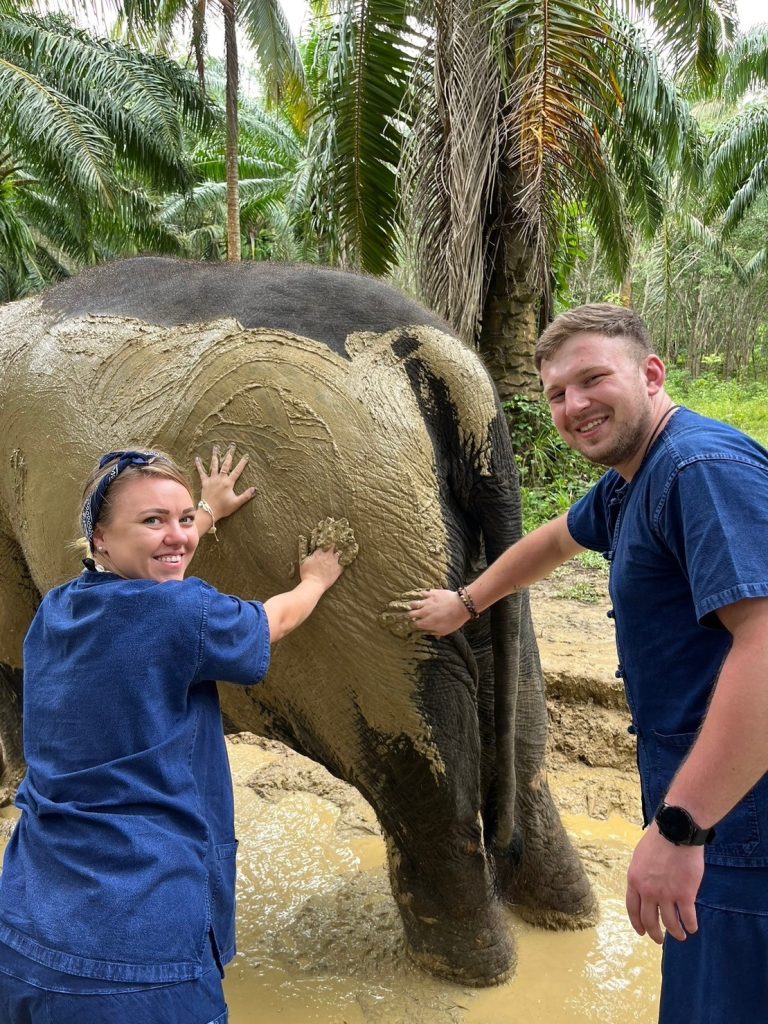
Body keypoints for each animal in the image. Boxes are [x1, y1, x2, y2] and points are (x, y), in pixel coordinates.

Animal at [0, 256, 598, 983]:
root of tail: (438, 357)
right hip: (471, 551)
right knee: (523, 730)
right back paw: (560, 917)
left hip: (362, 545)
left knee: (418, 764)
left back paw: (469, 971)